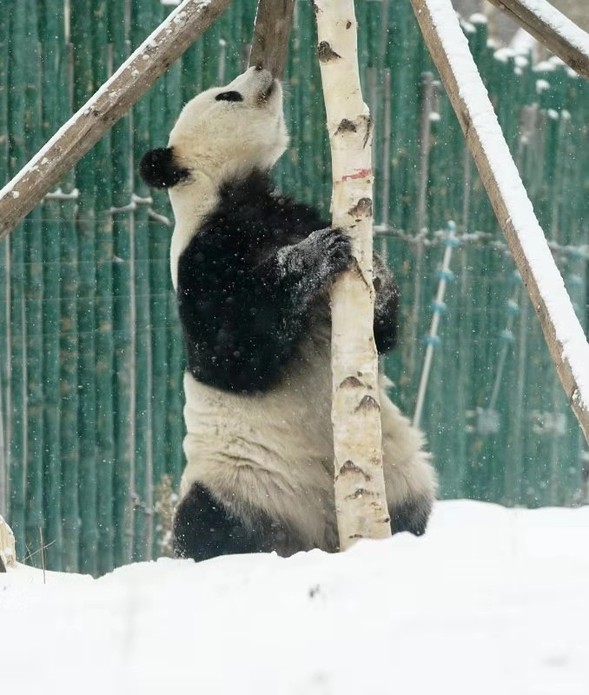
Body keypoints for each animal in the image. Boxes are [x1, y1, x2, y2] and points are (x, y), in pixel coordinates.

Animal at [140, 65, 436, 564]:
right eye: (226, 95)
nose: (262, 69)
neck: (234, 194)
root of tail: (315, 540)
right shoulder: (202, 260)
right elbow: (230, 353)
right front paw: (313, 255)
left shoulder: (293, 215)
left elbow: (383, 335)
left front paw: (375, 272)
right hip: (239, 481)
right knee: (205, 522)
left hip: (400, 471)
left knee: (413, 509)